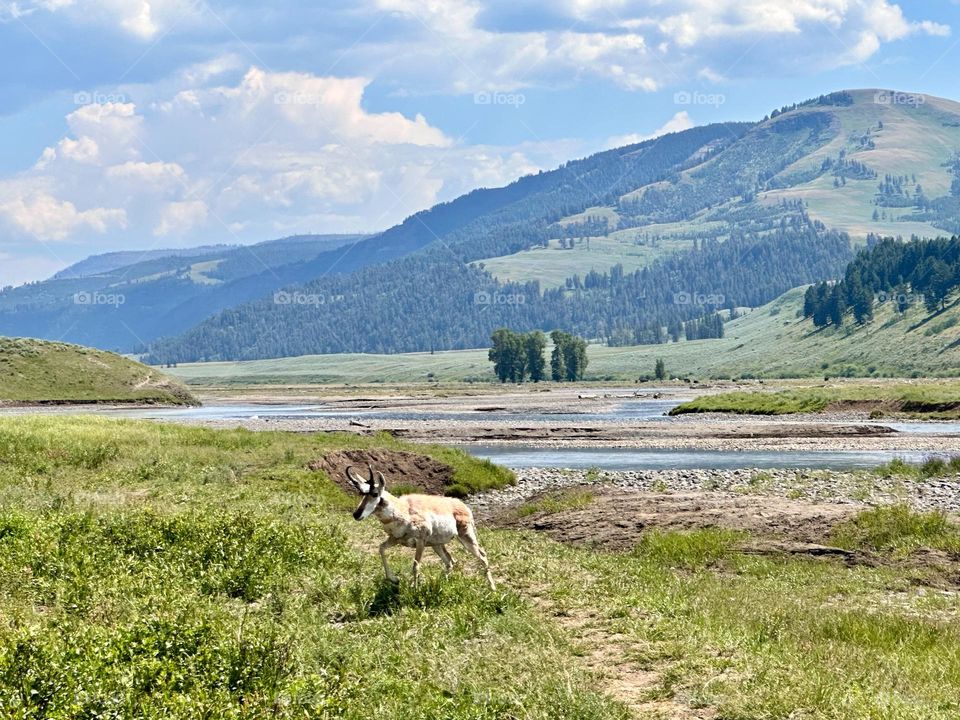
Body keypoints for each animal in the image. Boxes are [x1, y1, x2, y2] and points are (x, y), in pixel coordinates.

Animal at [346, 465, 496, 589]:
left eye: (375, 494)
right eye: (361, 493)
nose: (356, 514)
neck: (404, 510)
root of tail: (461, 505)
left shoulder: (420, 542)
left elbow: (415, 566)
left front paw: (414, 590)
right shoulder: (395, 539)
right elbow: (381, 548)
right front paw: (394, 579)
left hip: (466, 538)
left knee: (482, 556)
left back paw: (492, 588)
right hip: (437, 545)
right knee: (450, 561)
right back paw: (440, 584)